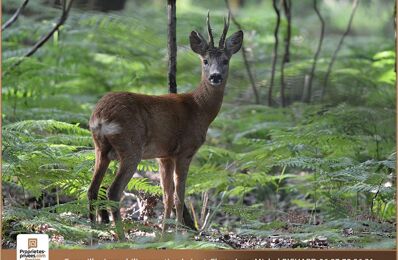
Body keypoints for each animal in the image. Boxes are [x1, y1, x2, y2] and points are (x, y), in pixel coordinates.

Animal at [87, 12, 243, 236]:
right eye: (205, 61)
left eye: (225, 60)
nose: (215, 76)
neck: (199, 108)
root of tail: (100, 115)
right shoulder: (185, 150)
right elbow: (179, 196)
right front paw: (178, 234)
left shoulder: (164, 155)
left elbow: (167, 195)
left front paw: (162, 233)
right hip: (130, 146)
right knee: (113, 191)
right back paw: (121, 236)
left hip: (100, 148)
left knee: (92, 189)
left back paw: (92, 231)